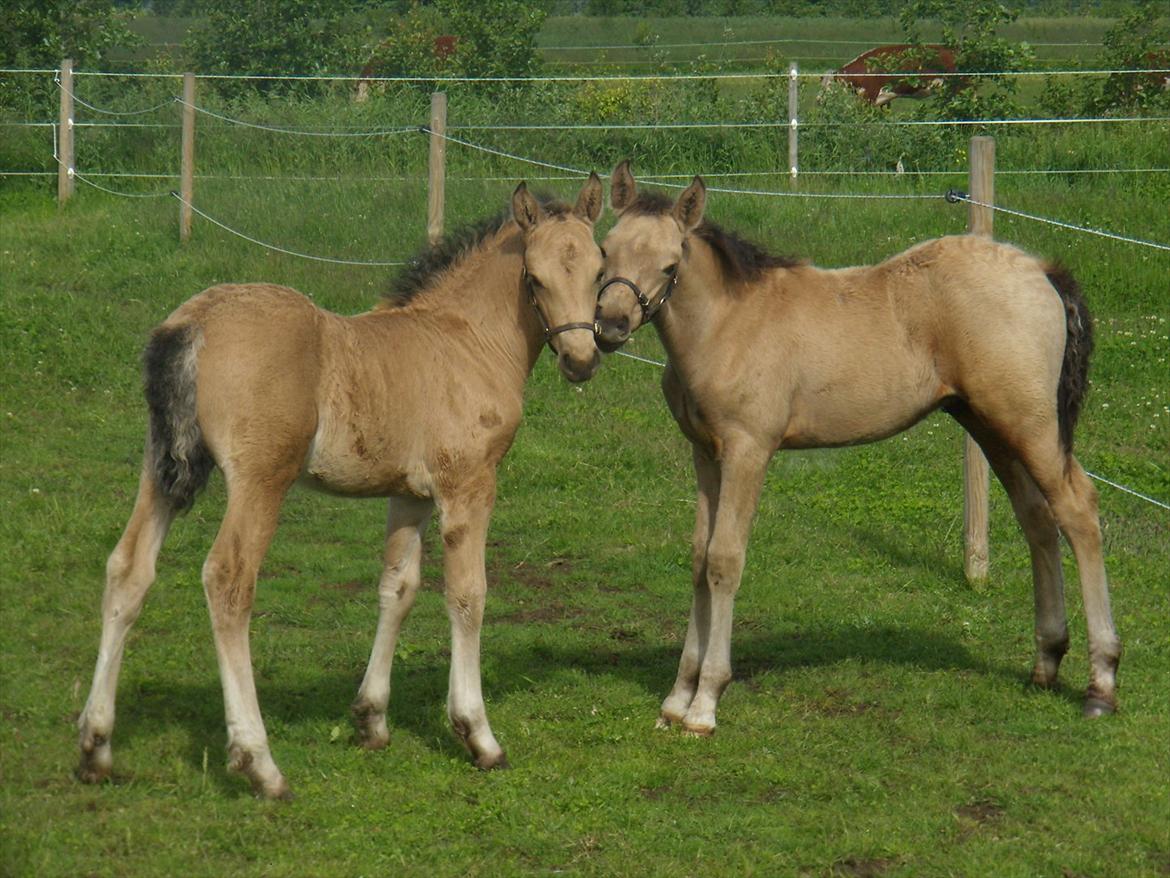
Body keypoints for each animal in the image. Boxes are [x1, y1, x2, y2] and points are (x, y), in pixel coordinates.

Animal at [75, 175, 603, 800]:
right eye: (534, 277)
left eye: (599, 269)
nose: (581, 359)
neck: (464, 340)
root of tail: (194, 323)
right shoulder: (467, 486)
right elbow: (467, 595)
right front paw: (478, 734)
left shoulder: (409, 495)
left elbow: (398, 587)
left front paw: (371, 719)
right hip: (260, 481)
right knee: (228, 579)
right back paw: (260, 763)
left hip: (160, 468)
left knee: (128, 569)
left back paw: (95, 746)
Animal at [599, 161, 1118, 739]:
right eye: (605, 250)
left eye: (670, 264)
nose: (610, 326)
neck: (727, 324)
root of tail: (1041, 270)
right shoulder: (705, 454)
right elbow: (697, 557)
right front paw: (676, 697)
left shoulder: (747, 451)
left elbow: (724, 560)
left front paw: (705, 703)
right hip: (990, 426)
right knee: (1037, 520)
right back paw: (1047, 661)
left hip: (1029, 425)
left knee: (1078, 510)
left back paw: (1101, 684)